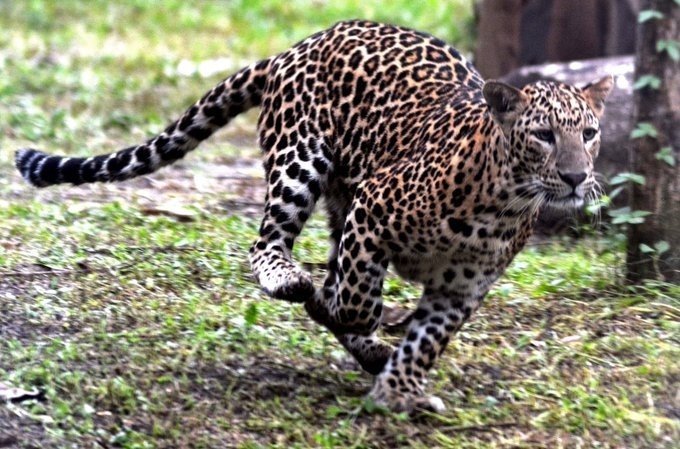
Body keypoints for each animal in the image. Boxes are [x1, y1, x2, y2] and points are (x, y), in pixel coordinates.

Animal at [15, 20, 613, 413]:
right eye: (543, 135)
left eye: (589, 133)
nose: (576, 177)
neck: (504, 201)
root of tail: (295, 48)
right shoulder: (374, 207)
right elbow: (355, 298)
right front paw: (344, 314)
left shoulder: (462, 286)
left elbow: (426, 340)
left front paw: (398, 391)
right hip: (301, 163)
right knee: (268, 244)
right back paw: (295, 284)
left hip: (337, 199)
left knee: (327, 269)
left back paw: (369, 351)